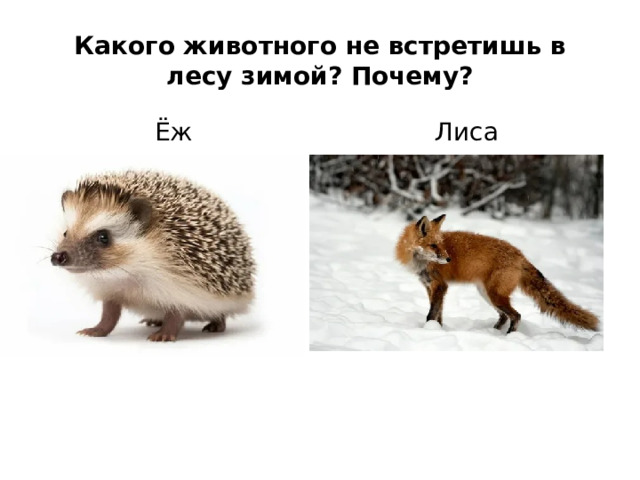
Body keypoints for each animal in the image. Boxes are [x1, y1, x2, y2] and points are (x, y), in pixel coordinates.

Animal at [395, 214, 599, 334]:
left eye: (442, 244)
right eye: (433, 245)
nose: (448, 259)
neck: (420, 262)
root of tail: (520, 255)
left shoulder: (440, 286)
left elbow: (431, 314)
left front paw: (428, 330)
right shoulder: (430, 287)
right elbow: (438, 314)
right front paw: (438, 330)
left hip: (494, 295)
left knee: (516, 316)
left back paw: (509, 336)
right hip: (487, 294)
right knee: (504, 316)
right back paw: (493, 333)